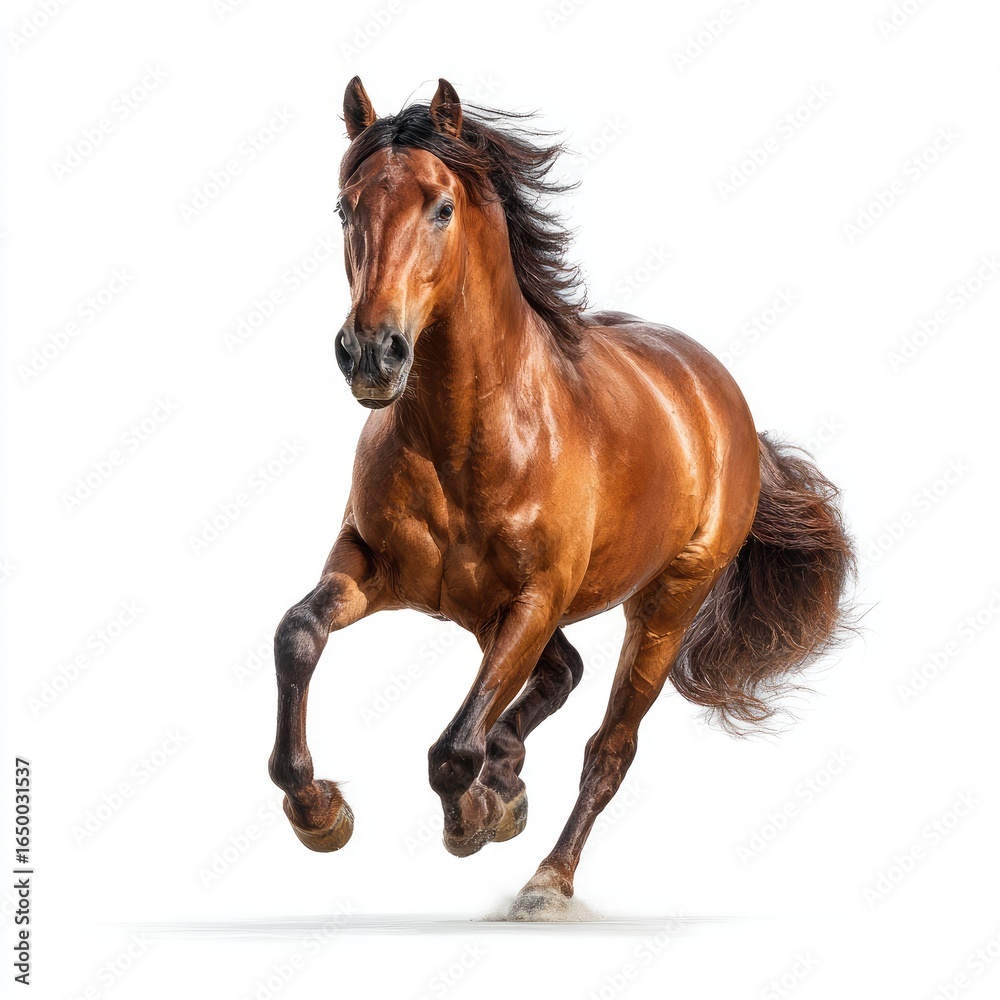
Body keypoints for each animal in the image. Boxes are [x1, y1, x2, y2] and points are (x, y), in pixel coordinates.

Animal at [267, 77, 855, 920]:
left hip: (664, 604)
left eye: (440, 208)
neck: (466, 435)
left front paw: (477, 815)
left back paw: (546, 877)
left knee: (609, 747)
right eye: (346, 208)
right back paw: (509, 776)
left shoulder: (535, 599)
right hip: (484, 613)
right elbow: (297, 635)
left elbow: (452, 751)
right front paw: (319, 810)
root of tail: (719, 396)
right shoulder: (371, 565)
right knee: (561, 675)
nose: (372, 353)